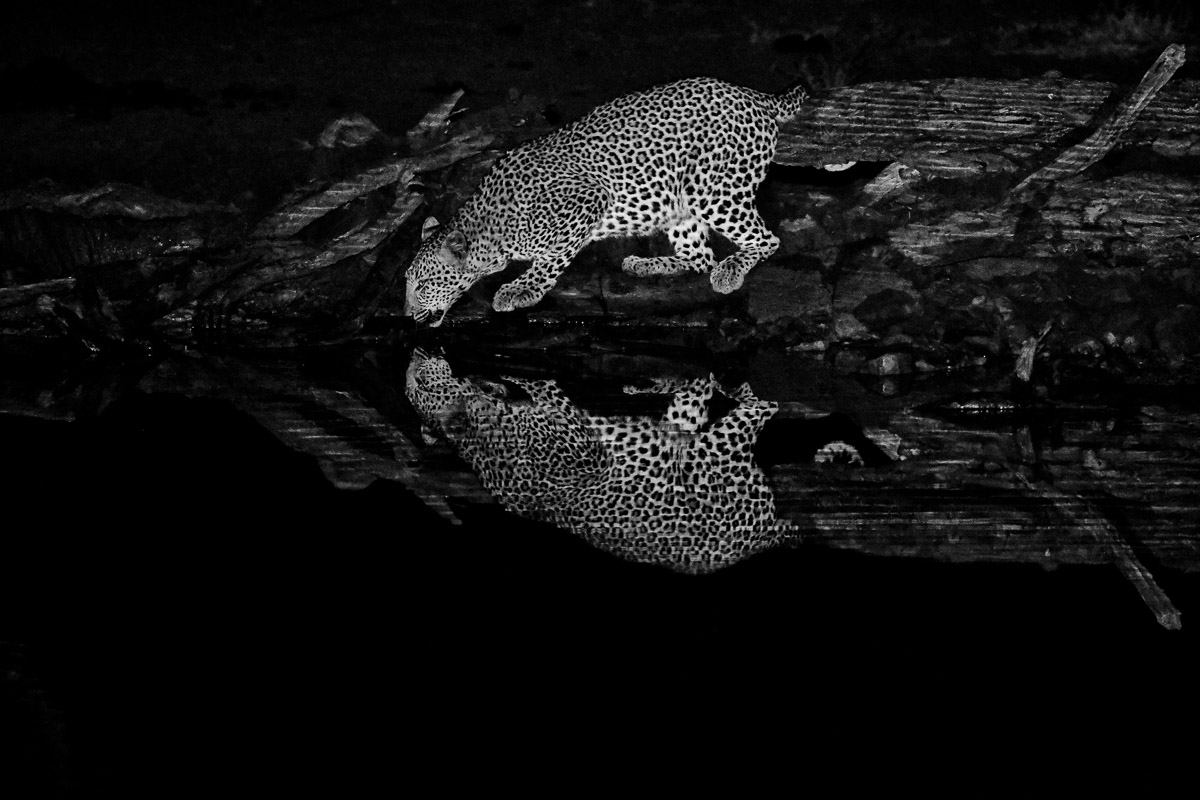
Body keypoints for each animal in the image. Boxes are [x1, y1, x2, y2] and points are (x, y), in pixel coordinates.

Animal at [404, 76, 809, 326]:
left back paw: (731, 269)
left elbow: (552, 258)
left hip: (713, 191)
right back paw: (646, 264)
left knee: (765, 241)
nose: (407, 315)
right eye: (408, 282)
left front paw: (522, 289)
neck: (491, 231)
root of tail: (756, 95)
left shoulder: (588, 201)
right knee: (699, 258)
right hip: (681, 206)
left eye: (423, 285)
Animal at [405, 349, 794, 572]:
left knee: (699, 398)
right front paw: (525, 376)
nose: (414, 353)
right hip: (708, 458)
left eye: (419, 383)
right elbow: (550, 393)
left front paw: (501, 377)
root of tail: (762, 537)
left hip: (689, 436)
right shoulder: (583, 447)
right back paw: (737, 385)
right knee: (763, 405)